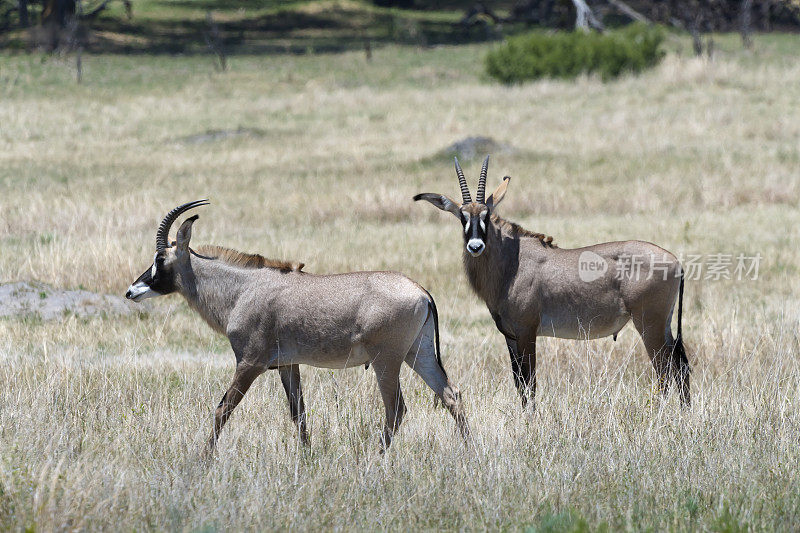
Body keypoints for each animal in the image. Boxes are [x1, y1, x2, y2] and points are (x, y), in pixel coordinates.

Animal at [125, 200, 468, 454]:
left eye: (159, 258)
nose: (131, 291)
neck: (242, 289)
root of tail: (421, 292)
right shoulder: (289, 365)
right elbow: (298, 414)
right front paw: (307, 458)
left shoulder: (249, 363)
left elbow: (223, 409)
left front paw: (202, 459)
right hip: (418, 354)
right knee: (451, 395)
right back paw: (469, 452)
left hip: (387, 361)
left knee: (396, 409)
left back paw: (374, 459)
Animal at [416, 157, 692, 408]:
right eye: (462, 217)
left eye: (486, 214)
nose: (475, 246)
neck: (512, 262)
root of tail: (675, 262)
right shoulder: (510, 336)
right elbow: (519, 384)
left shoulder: (527, 331)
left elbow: (530, 383)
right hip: (663, 325)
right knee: (681, 367)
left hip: (648, 324)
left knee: (665, 370)